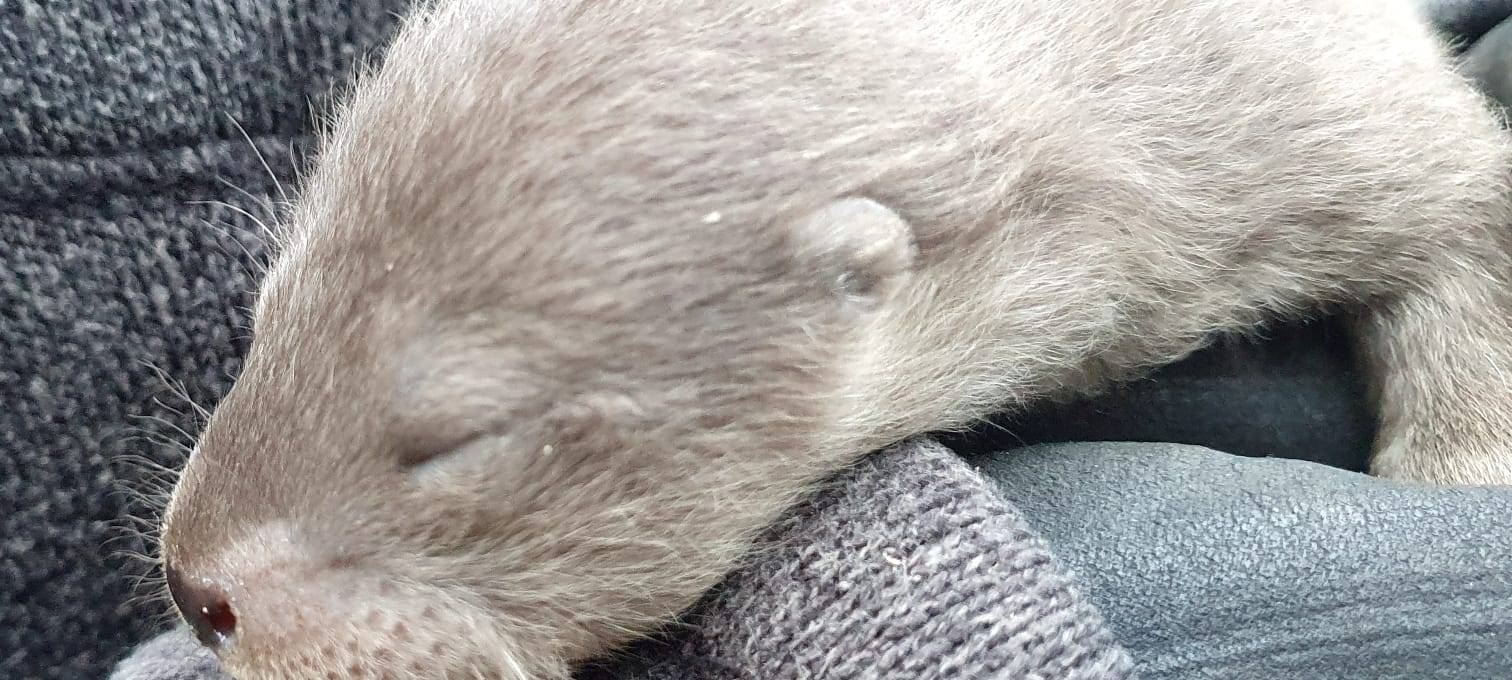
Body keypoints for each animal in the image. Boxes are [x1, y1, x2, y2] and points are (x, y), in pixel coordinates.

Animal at [159, 0, 1512, 677]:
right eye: (267, 315)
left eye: (457, 439)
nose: (193, 586)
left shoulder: (1322, 99)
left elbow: (1474, 203)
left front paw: (1463, 465)